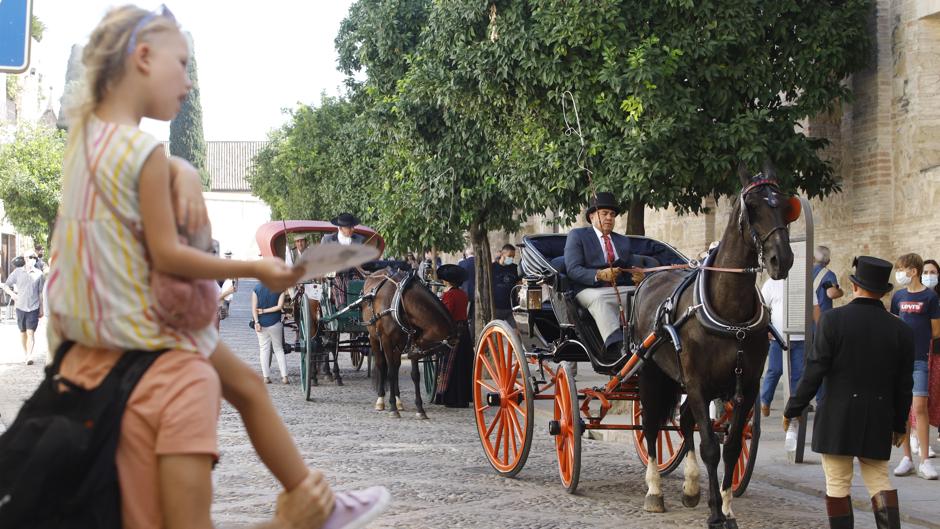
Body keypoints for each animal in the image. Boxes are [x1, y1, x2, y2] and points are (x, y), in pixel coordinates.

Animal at [362, 270, 458, 418]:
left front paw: (419, 409)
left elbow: (415, 375)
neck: (401, 302)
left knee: (396, 366)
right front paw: (392, 408)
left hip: (398, 345)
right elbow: (389, 372)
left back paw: (398, 401)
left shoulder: (411, 342)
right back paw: (381, 400)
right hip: (374, 338)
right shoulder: (386, 340)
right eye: (436, 348)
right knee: (382, 365)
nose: (413, 352)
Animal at [636, 163, 796, 524]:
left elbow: (732, 446)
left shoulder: (746, 388)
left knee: (683, 421)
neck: (730, 314)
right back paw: (654, 491)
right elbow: (710, 445)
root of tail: (650, 276)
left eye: (784, 205)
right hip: (653, 372)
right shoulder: (697, 383)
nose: (782, 259)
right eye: (752, 207)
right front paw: (714, 513)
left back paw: (691, 487)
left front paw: (725, 507)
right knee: (651, 425)